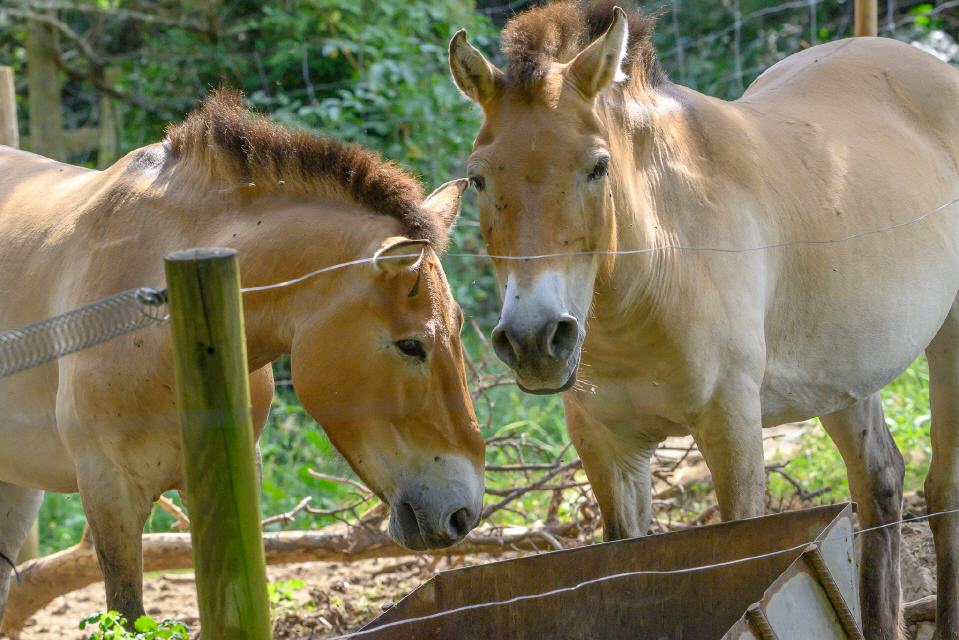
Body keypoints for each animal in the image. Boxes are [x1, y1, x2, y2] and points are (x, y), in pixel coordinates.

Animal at [454, 2, 959, 636]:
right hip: (844, 373)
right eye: (478, 177)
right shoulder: (608, 449)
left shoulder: (731, 426)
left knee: (943, 491)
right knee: (881, 484)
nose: (535, 339)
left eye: (597, 166)